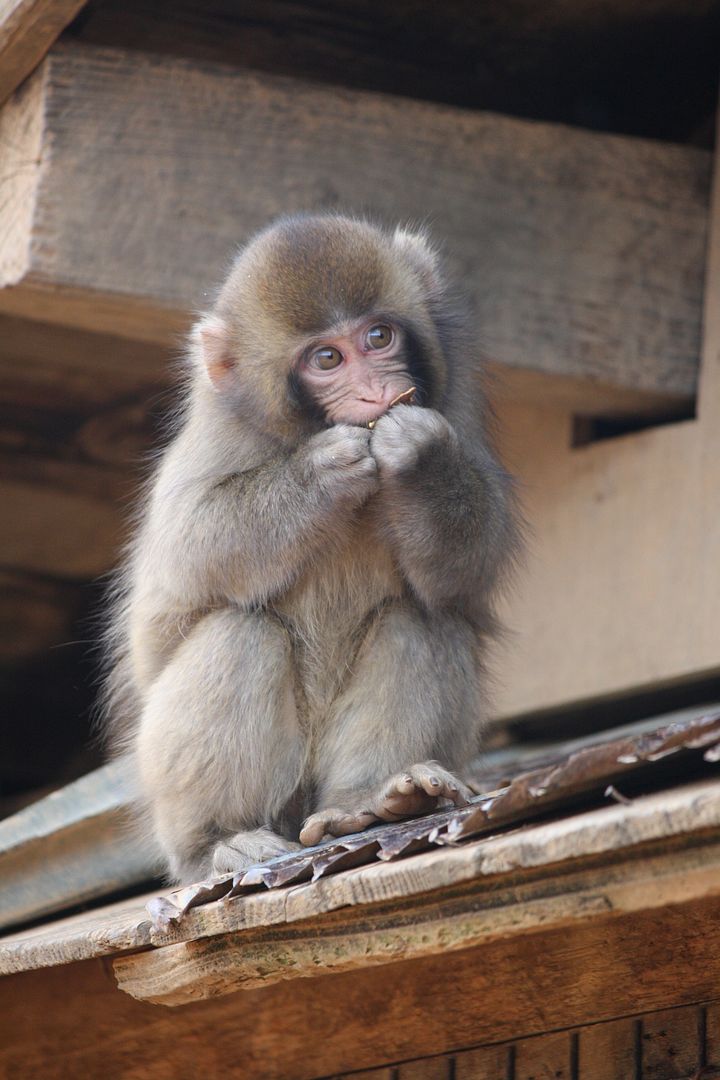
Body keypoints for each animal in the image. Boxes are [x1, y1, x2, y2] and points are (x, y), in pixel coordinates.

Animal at [105, 212, 518, 885]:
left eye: (378, 336)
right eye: (328, 358)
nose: (375, 390)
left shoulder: (453, 402)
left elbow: (469, 567)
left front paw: (422, 455)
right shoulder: (220, 432)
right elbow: (192, 545)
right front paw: (323, 472)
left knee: (421, 618)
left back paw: (369, 800)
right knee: (239, 632)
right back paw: (218, 842)